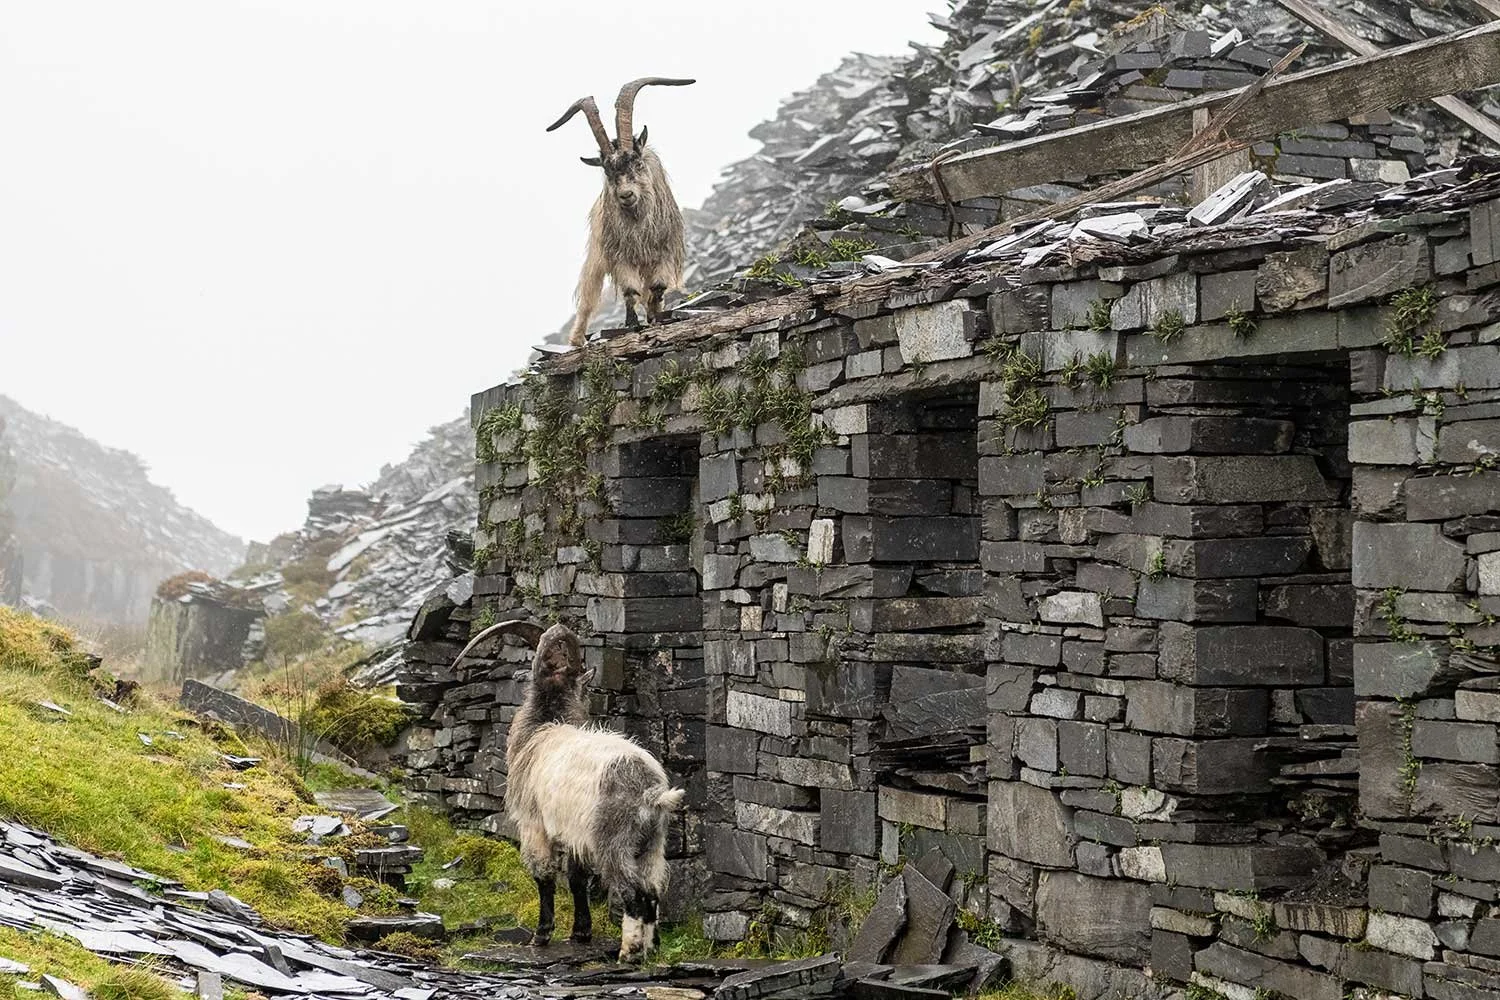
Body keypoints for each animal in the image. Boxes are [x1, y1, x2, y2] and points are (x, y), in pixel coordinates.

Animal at [453, 618, 685, 962]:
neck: (545, 725)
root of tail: (650, 792)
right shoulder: (575, 835)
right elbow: (577, 880)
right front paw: (581, 933)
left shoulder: (534, 825)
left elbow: (544, 876)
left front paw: (541, 935)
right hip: (652, 844)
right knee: (653, 892)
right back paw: (651, 948)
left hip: (614, 842)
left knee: (633, 893)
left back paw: (629, 953)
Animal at [547, 77, 694, 347]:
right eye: (607, 171)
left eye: (637, 162)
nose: (626, 195)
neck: (638, 221)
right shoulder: (620, 255)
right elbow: (630, 291)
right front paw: (632, 323)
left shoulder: (665, 251)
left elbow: (657, 287)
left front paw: (655, 315)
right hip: (596, 257)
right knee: (588, 299)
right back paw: (576, 339)